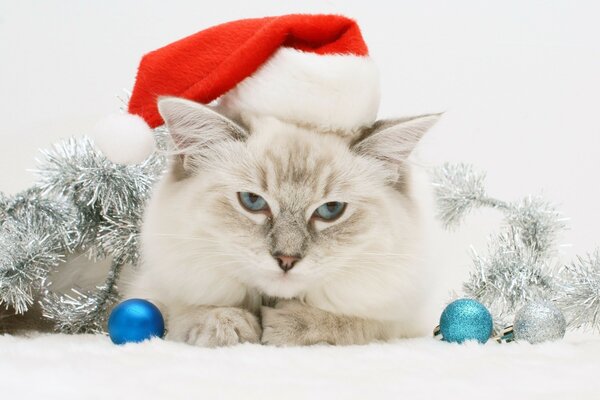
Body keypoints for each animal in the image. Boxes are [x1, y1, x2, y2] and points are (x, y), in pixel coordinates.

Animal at [123, 97, 440, 346]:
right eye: (252, 201)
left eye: (331, 210)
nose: (287, 260)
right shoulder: (158, 286)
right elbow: (185, 309)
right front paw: (225, 325)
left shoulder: (402, 318)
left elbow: (353, 323)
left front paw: (283, 326)